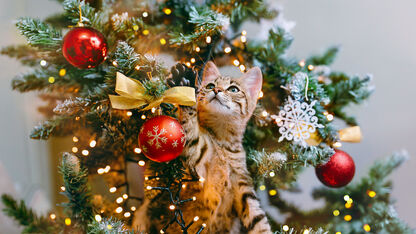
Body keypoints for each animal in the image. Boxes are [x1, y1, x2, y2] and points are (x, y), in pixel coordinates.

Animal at [132, 62, 272, 234]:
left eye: (233, 89)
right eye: (210, 85)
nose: (216, 90)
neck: (222, 142)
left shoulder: (243, 185)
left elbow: (258, 219)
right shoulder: (198, 161)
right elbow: (191, 132)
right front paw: (185, 85)